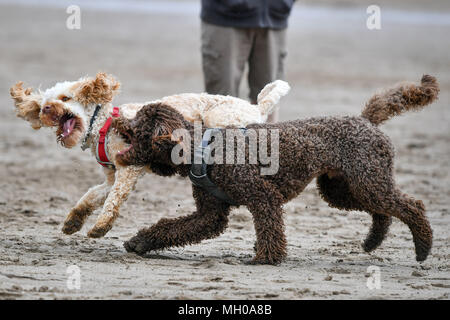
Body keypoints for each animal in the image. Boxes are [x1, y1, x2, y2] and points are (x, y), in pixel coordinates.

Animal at [112, 75, 440, 264]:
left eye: (138, 123)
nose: (117, 119)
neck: (204, 148)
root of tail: (365, 120)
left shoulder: (262, 196)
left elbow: (270, 228)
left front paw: (267, 258)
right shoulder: (210, 213)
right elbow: (170, 227)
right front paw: (140, 241)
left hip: (368, 181)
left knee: (411, 206)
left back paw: (423, 247)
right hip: (342, 188)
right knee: (382, 213)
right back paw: (373, 242)